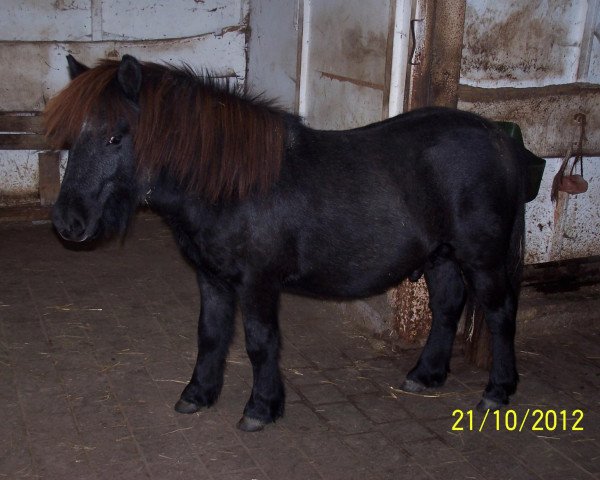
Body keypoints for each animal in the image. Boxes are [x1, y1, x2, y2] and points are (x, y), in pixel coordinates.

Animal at [45, 54, 528, 434]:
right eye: (74, 136)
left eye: (115, 136)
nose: (68, 222)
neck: (231, 185)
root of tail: (498, 139)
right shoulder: (211, 279)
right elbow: (211, 335)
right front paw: (198, 394)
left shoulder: (258, 283)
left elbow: (260, 342)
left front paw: (261, 408)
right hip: (439, 256)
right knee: (447, 305)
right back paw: (426, 375)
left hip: (481, 258)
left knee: (499, 312)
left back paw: (497, 391)